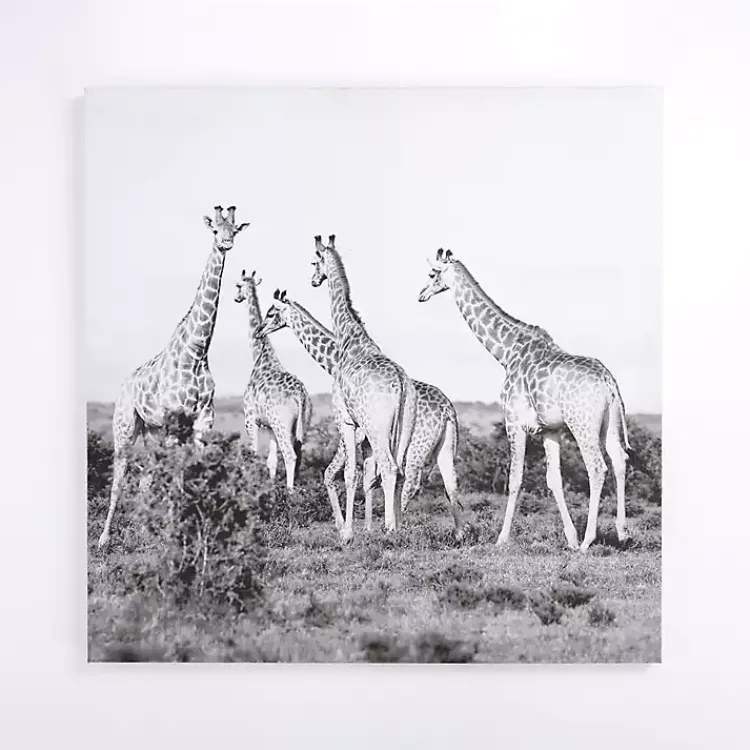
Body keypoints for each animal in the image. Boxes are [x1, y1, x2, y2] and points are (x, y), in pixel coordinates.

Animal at [98, 206, 250, 549]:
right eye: (215, 230)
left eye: (234, 229)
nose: (226, 243)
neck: (197, 353)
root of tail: (124, 383)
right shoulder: (173, 420)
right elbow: (177, 474)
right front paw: (175, 532)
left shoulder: (203, 420)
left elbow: (197, 470)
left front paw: (197, 529)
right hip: (126, 426)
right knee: (120, 475)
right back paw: (104, 538)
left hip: (151, 431)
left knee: (145, 477)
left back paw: (145, 531)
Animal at [234, 270, 312, 488]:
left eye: (237, 285)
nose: (236, 298)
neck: (260, 356)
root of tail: (301, 396)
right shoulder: (268, 426)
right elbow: (271, 462)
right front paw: (269, 488)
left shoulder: (250, 418)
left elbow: (253, 453)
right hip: (300, 425)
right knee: (298, 454)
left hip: (281, 423)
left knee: (291, 455)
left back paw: (290, 492)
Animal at [257, 289, 464, 538]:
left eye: (271, 313)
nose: (259, 331)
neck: (336, 360)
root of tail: (447, 410)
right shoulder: (367, 441)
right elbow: (367, 478)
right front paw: (366, 527)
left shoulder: (355, 432)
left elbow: (335, 473)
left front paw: (346, 526)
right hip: (442, 446)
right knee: (448, 484)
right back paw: (456, 532)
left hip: (416, 448)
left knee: (409, 480)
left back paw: (395, 526)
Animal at [310, 235, 418, 543]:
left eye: (313, 262)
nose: (313, 280)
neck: (349, 338)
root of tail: (401, 383)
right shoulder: (363, 429)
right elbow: (365, 474)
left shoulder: (345, 419)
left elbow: (350, 473)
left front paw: (347, 533)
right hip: (404, 426)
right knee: (400, 470)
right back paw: (396, 527)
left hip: (377, 426)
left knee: (390, 467)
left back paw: (391, 530)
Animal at [418, 248, 630, 553]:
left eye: (432, 273)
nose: (421, 294)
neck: (507, 352)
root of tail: (609, 383)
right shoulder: (550, 429)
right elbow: (554, 480)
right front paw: (569, 537)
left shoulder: (514, 422)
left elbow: (515, 479)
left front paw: (502, 538)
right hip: (609, 423)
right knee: (620, 460)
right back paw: (622, 533)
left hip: (582, 424)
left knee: (597, 467)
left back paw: (589, 540)